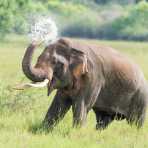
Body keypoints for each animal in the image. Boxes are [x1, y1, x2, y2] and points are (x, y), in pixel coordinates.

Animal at [20, 38, 148, 130]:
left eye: (56, 63)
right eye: (38, 58)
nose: (39, 39)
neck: (73, 47)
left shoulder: (93, 77)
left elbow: (82, 105)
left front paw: (76, 133)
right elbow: (59, 104)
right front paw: (43, 130)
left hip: (141, 97)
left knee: (135, 121)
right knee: (104, 120)